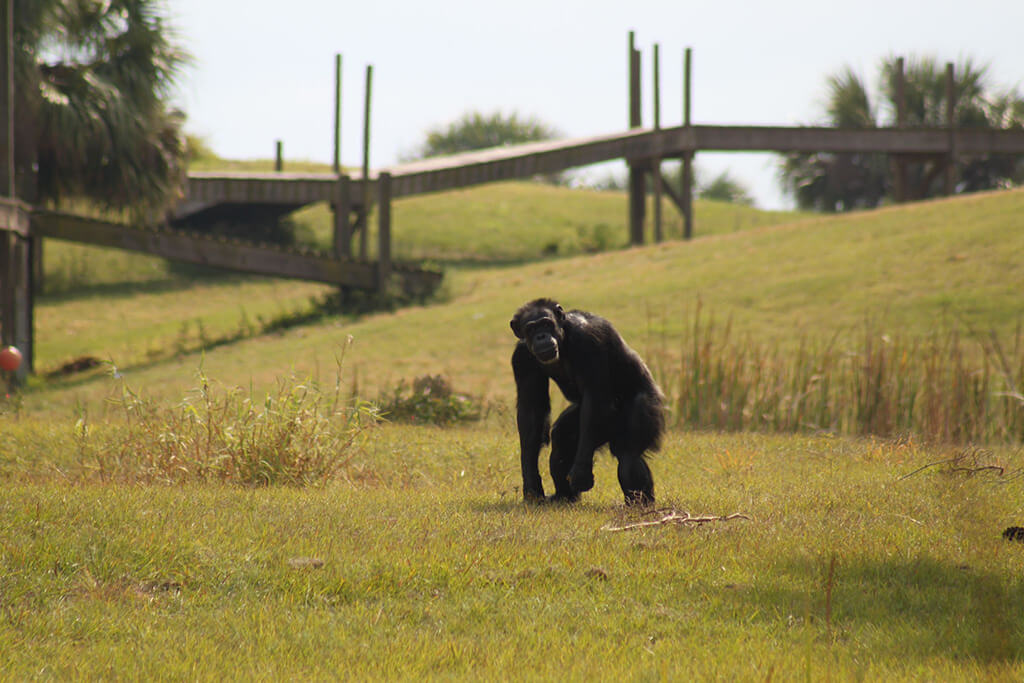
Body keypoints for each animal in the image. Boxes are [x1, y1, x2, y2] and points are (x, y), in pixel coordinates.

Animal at [509, 296, 667, 505]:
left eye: (546, 324)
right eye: (531, 328)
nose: (541, 336)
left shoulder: (588, 341)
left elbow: (594, 398)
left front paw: (581, 474)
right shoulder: (521, 358)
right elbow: (532, 410)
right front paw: (532, 486)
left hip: (647, 404)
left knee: (628, 454)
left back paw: (640, 505)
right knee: (562, 438)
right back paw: (564, 496)